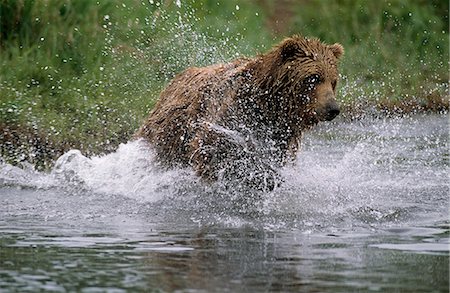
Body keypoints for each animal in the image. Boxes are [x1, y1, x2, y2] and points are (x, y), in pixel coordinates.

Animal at [137, 35, 344, 190]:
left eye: (333, 81)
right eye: (313, 78)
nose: (333, 109)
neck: (270, 105)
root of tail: (175, 79)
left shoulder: (280, 136)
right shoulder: (231, 117)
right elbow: (214, 151)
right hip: (170, 132)